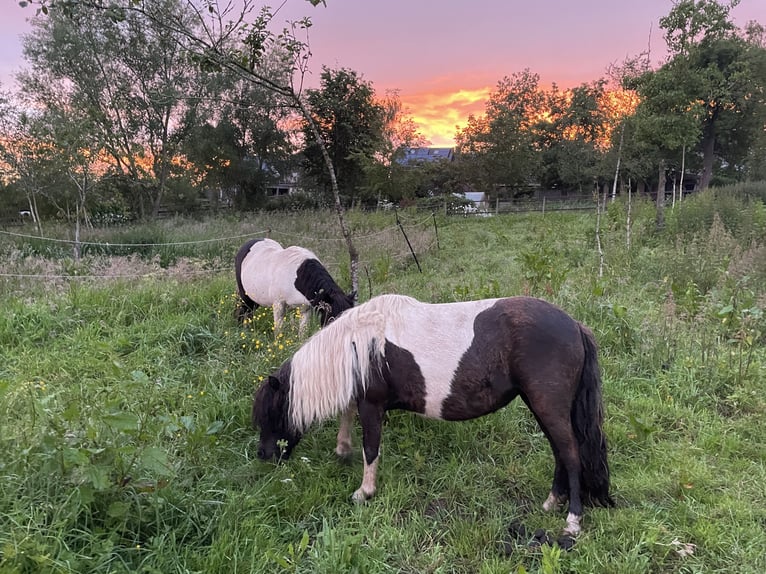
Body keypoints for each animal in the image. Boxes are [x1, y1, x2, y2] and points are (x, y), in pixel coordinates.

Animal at [255, 294, 616, 544]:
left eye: (270, 414)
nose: (264, 456)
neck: (361, 342)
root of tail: (574, 325)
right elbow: (348, 418)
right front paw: (342, 450)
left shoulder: (372, 405)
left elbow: (370, 448)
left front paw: (364, 492)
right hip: (541, 406)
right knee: (560, 452)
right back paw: (552, 503)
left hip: (548, 405)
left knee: (570, 454)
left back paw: (572, 520)